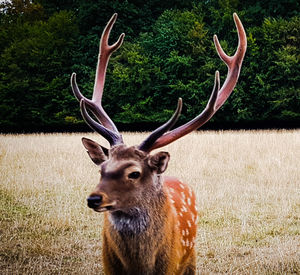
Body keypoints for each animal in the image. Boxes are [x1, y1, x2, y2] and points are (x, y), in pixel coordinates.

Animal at [70, 11, 246, 274]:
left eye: (134, 172)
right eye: (101, 169)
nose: (94, 198)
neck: (139, 267)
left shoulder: (172, 264)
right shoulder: (108, 265)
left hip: (191, 255)